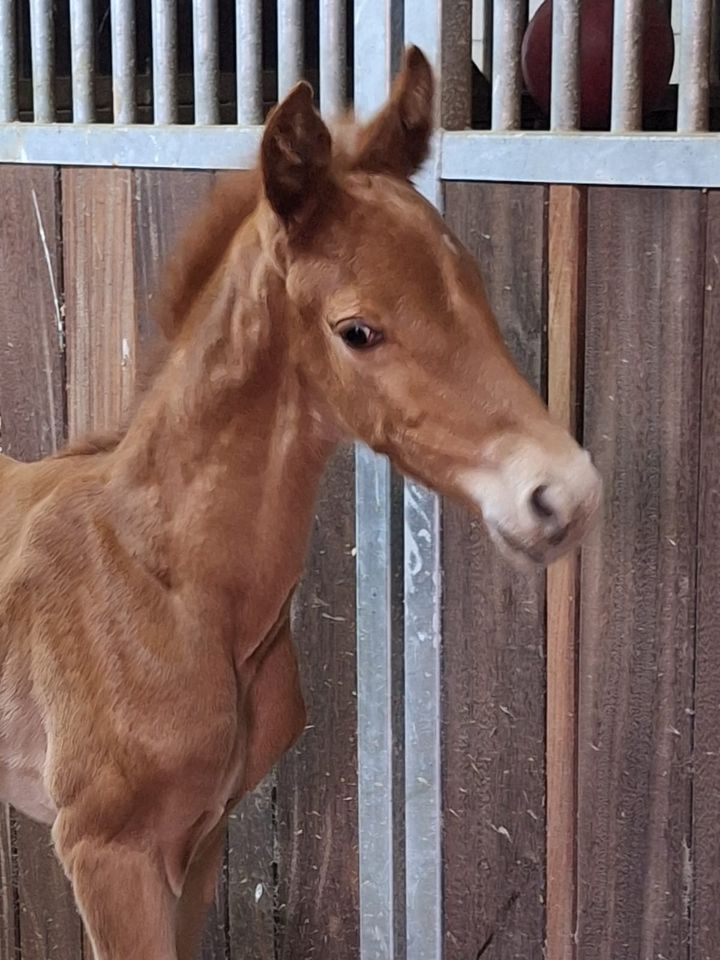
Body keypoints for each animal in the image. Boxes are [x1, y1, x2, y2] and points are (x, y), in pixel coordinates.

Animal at [0, 47, 600, 960]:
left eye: (470, 285)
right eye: (358, 330)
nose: (562, 493)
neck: (168, 585)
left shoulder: (200, 839)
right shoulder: (109, 852)